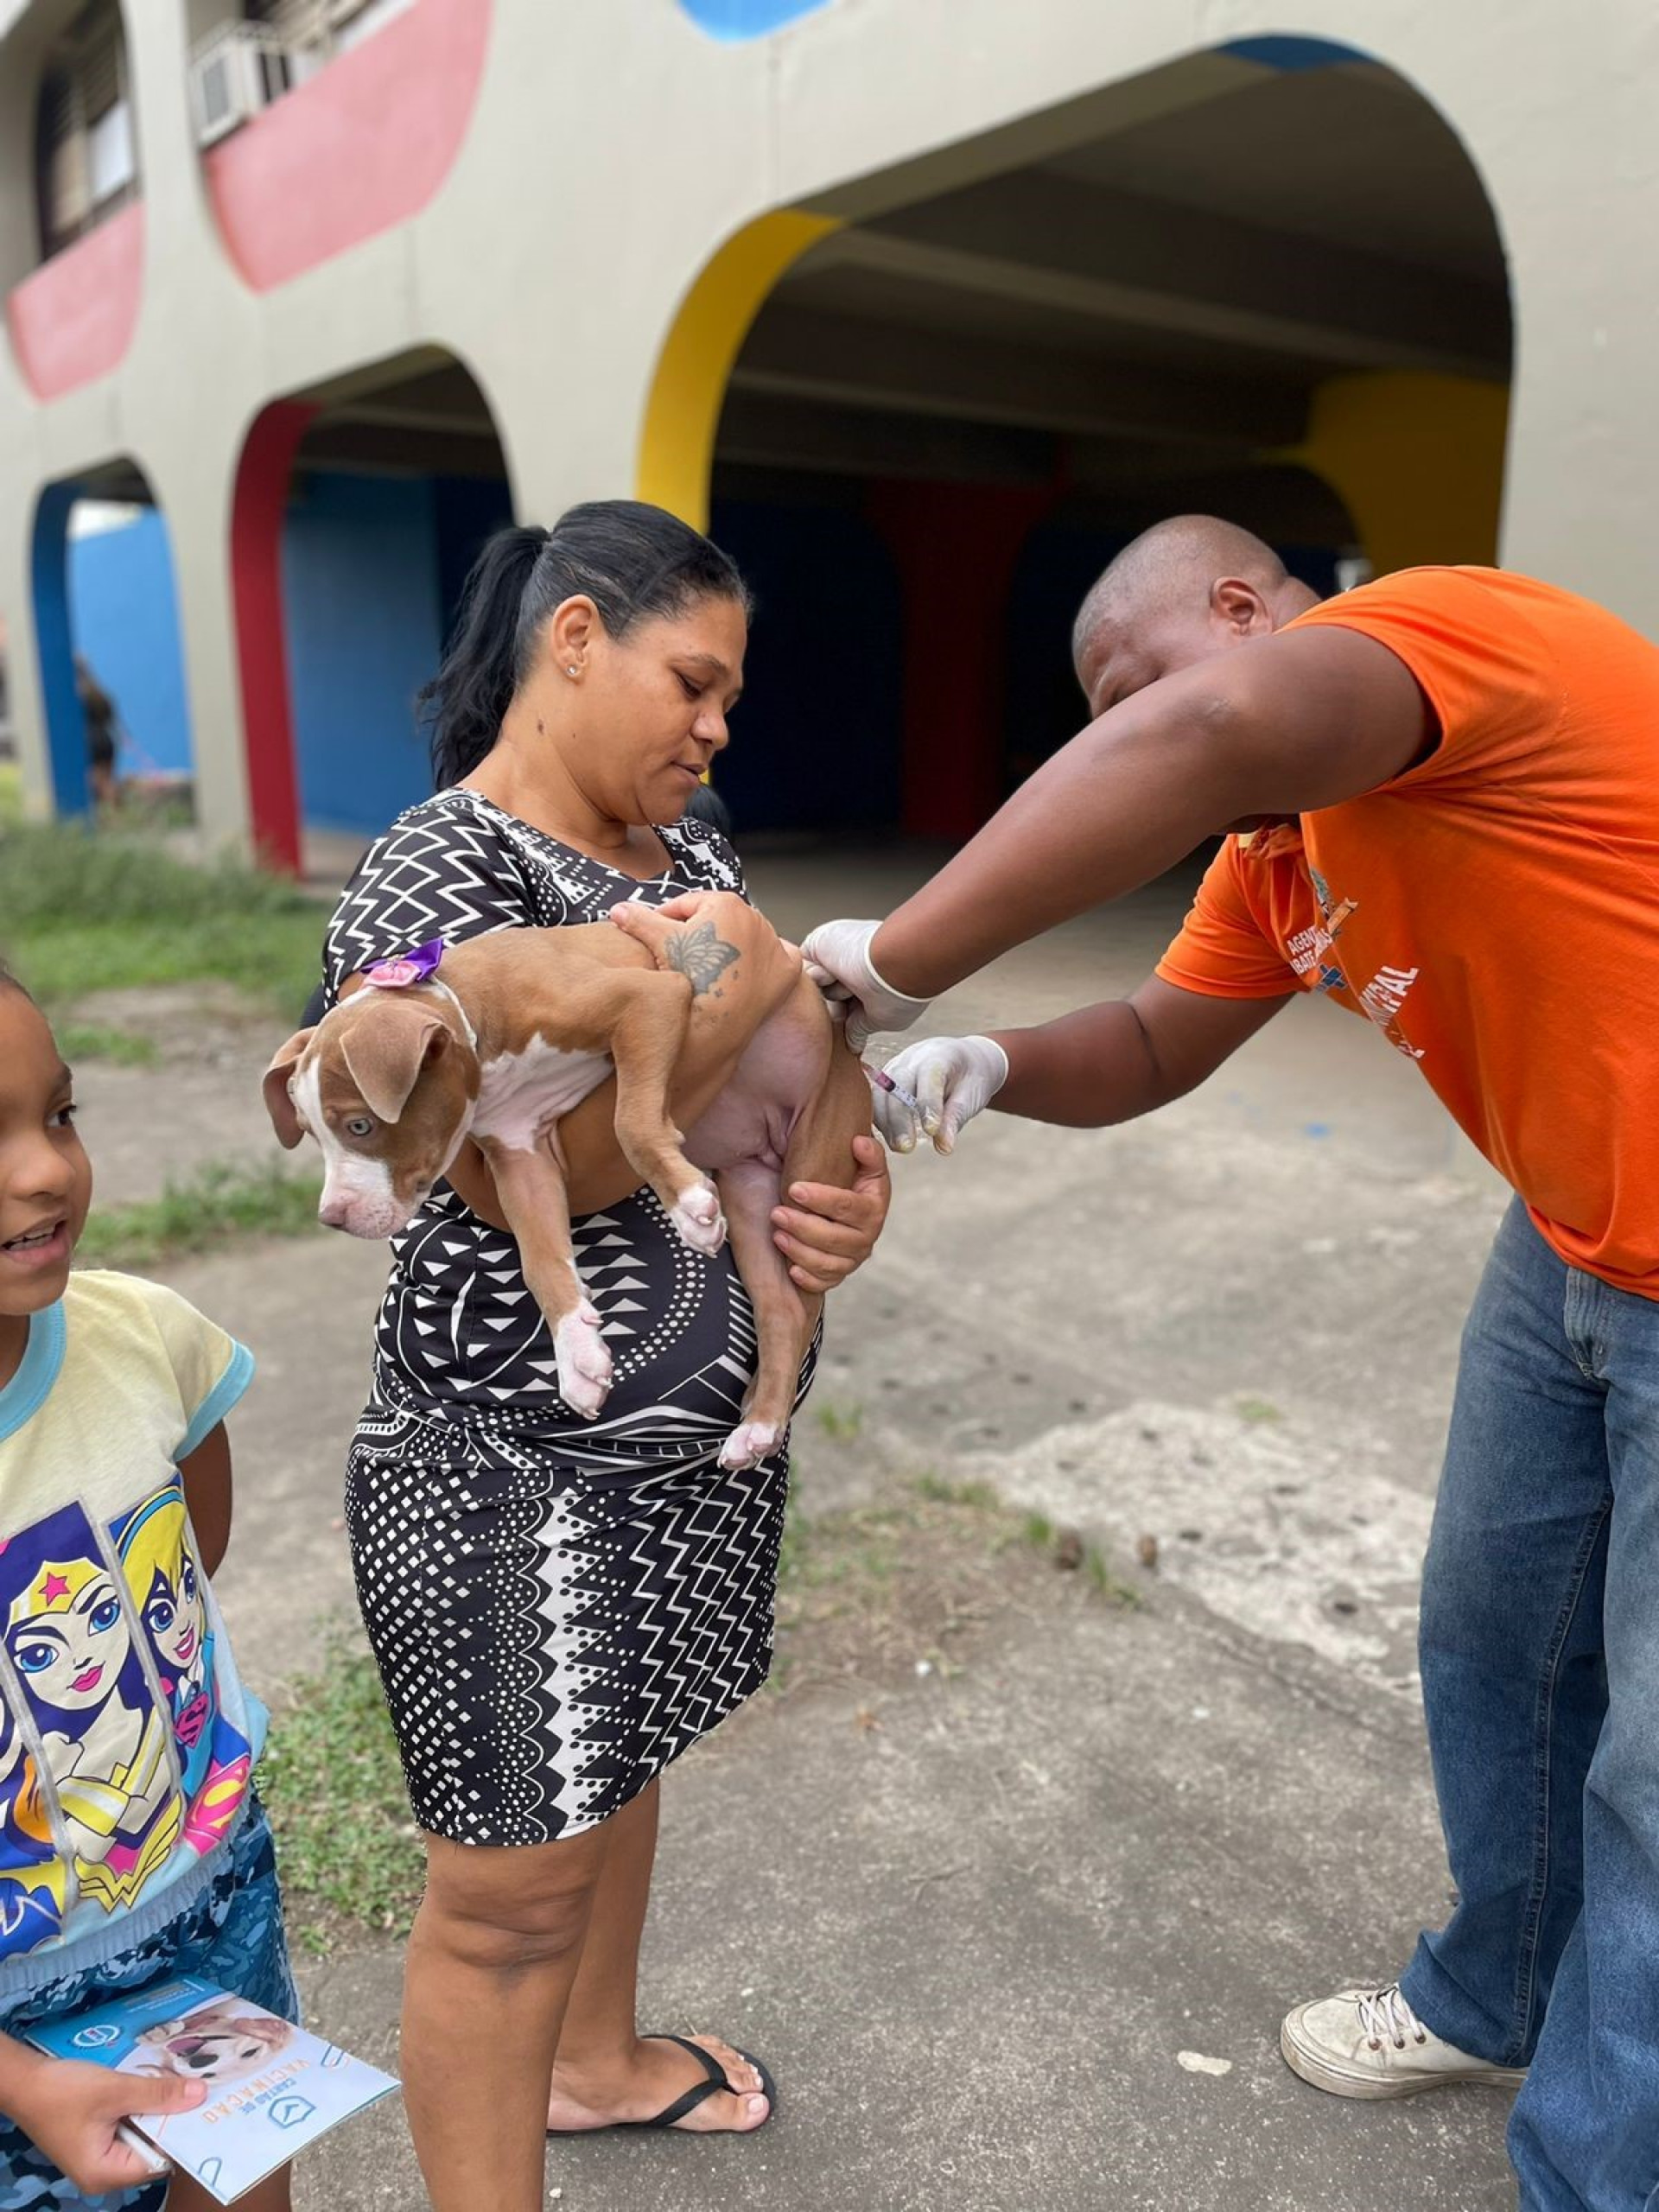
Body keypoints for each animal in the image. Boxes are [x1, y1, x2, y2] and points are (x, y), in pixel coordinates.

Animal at [263, 889, 871, 1478]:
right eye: (314, 1135)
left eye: (360, 1126)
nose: (333, 1217)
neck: (471, 1015)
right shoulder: (521, 1154)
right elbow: (541, 1262)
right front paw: (579, 1355)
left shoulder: (650, 999)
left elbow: (631, 1121)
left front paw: (687, 1204)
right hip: (750, 1190)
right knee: (780, 1310)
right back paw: (759, 1425)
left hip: (813, 1156)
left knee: (800, 1301)